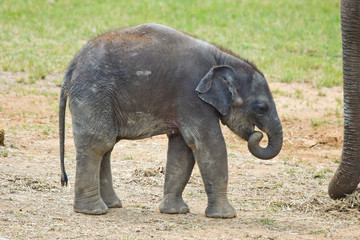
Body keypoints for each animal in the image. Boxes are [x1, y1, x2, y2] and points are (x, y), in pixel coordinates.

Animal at [60, 23, 282, 218]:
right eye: (261, 108)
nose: (257, 135)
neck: (221, 58)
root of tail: (72, 65)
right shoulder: (191, 96)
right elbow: (208, 144)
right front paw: (226, 216)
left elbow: (182, 149)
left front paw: (175, 211)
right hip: (93, 92)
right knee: (99, 143)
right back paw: (93, 211)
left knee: (107, 146)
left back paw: (112, 205)